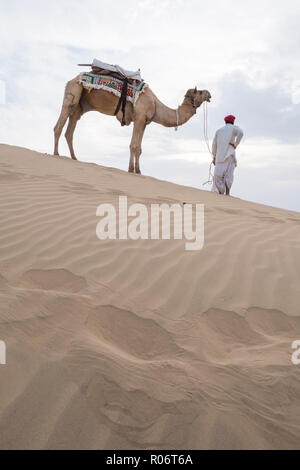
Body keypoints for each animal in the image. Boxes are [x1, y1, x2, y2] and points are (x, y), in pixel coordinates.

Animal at [54, 74, 211, 173]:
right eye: (200, 91)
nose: (209, 94)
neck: (155, 104)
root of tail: (72, 79)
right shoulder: (140, 117)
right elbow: (133, 146)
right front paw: (131, 170)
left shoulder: (144, 122)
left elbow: (139, 148)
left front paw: (138, 170)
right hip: (73, 92)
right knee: (59, 125)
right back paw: (56, 154)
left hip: (79, 106)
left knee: (70, 130)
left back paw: (74, 158)